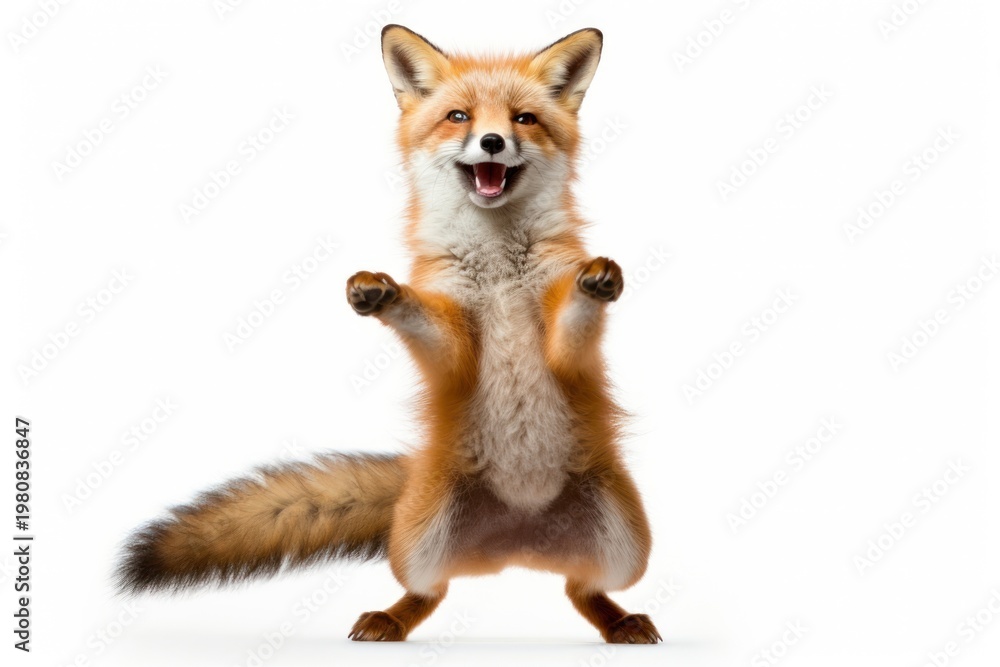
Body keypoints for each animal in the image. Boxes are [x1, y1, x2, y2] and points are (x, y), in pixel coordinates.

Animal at [116, 24, 662, 644]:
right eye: (458, 116)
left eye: (523, 119)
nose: (492, 141)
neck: (499, 267)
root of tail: (518, 548)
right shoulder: (455, 345)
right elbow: (422, 321)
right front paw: (385, 293)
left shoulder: (562, 346)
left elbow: (574, 320)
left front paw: (595, 285)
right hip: (421, 540)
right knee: (432, 592)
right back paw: (391, 619)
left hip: (627, 543)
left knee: (581, 589)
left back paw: (620, 622)